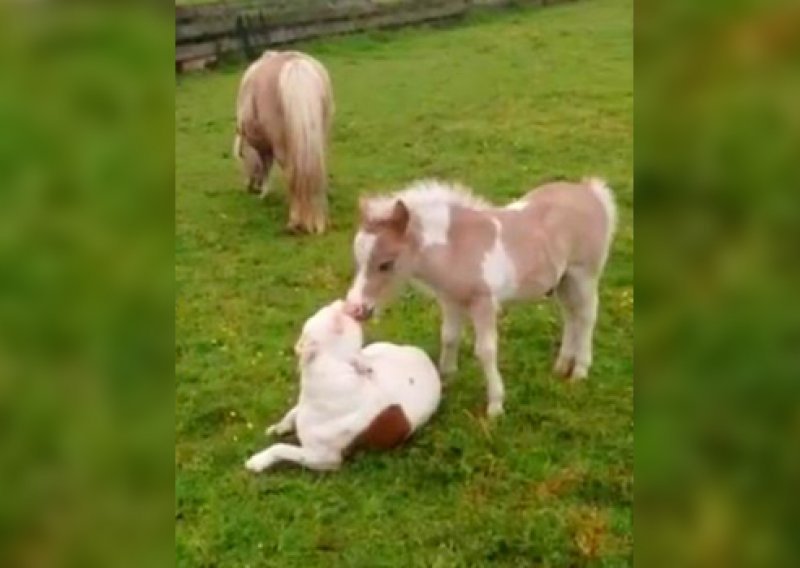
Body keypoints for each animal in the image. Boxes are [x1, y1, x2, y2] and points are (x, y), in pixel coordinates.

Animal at [233, 50, 332, 234]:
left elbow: (266, 166)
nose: (249, 187)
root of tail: (295, 65)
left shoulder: (263, 146)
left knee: (291, 173)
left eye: (242, 156)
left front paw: (264, 193)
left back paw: (295, 221)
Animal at [247, 300, 440, 472]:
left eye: (338, 326)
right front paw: (280, 427)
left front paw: (258, 461)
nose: (346, 304)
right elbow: (291, 413)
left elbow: (280, 448)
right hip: (376, 348)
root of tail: (424, 356)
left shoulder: (322, 458)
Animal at [346, 178, 620, 418]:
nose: (355, 309)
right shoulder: (450, 300)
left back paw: (580, 370)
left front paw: (496, 405)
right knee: (570, 317)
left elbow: (486, 350)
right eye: (357, 260)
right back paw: (562, 365)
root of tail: (591, 191)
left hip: (583, 275)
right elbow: (449, 337)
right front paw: (446, 378)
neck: (456, 247)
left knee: (586, 317)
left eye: (386, 264)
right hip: (563, 280)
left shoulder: (483, 303)